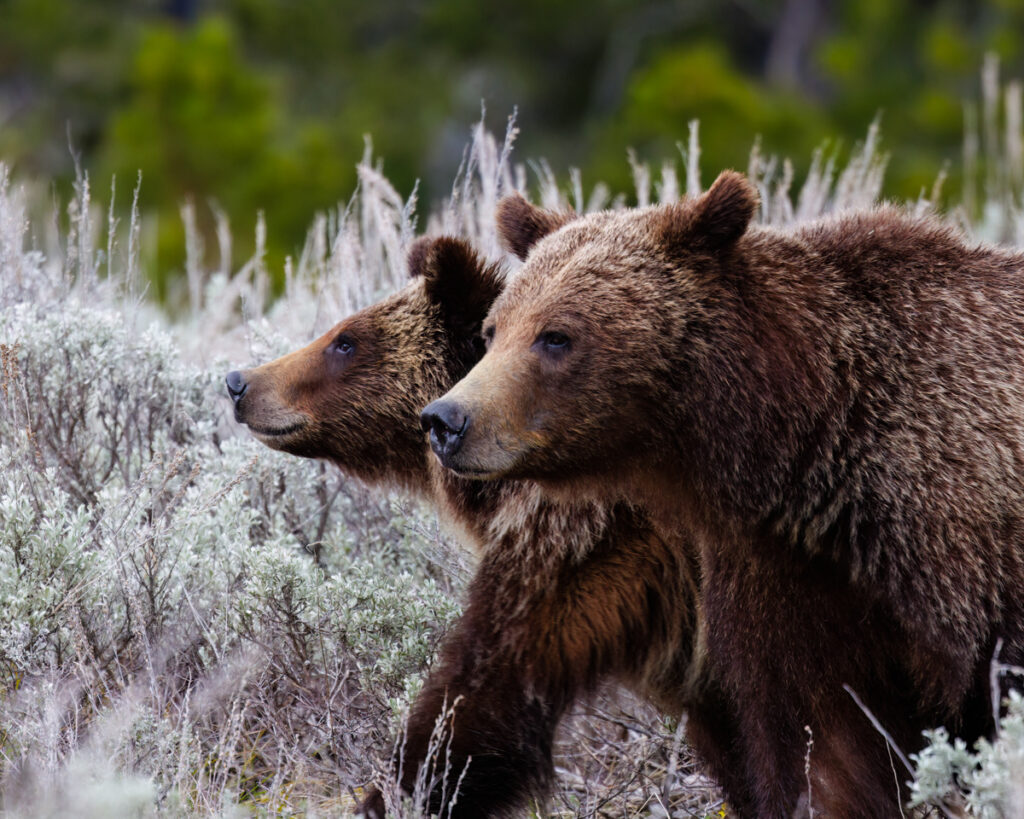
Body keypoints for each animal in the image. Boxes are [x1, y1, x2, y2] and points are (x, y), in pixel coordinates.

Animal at [419, 176, 1024, 814]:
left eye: (556, 335)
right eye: (492, 331)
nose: (445, 420)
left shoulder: (958, 540)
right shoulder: (785, 573)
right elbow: (824, 747)